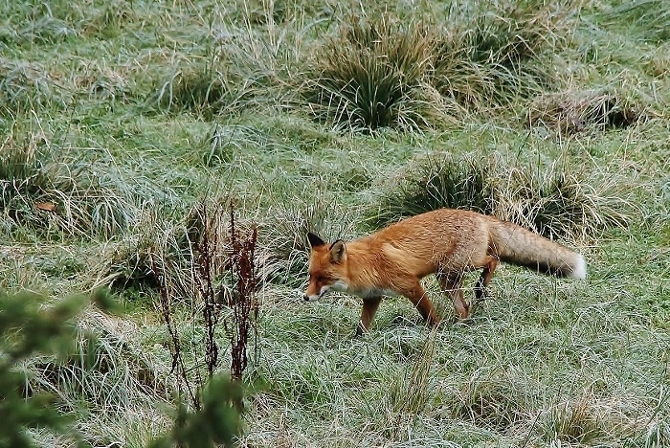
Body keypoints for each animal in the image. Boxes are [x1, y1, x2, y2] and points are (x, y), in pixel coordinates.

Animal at [304, 208, 588, 334]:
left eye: (323, 277)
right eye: (310, 276)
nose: (305, 297)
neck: (366, 264)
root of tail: (478, 215)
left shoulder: (410, 284)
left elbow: (429, 315)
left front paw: (435, 332)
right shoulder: (373, 297)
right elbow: (362, 327)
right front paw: (356, 343)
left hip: (456, 266)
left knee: (493, 259)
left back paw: (480, 288)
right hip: (448, 280)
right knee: (463, 308)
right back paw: (462, 324)